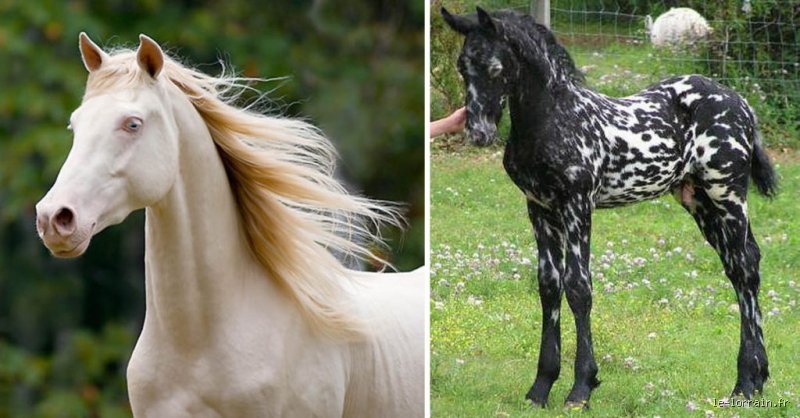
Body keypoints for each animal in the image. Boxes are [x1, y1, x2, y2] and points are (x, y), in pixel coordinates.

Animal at [442, 7, 777, 409]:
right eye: (462, 67)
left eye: (495, 68)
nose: (479, 133)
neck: (555, 119)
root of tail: (740, 103)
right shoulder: (540, 209)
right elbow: (548, 287)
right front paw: (541, 387)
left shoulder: (577, 205)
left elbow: (578, 288)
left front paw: (580, 388)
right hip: (699, 201)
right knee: (741, 266)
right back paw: (758, 378)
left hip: (727, 194)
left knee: (745, 268)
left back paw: (745, 382)